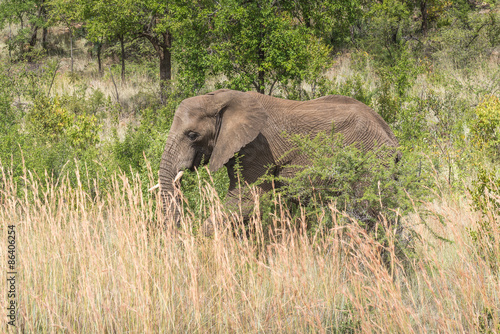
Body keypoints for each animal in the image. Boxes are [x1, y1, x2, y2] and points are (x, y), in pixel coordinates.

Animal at [156, 88, 398, 230]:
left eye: (192, 135)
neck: (221, 98)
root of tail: (391, 135)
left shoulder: (257, 147)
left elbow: (245, 201)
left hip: (372, 159)